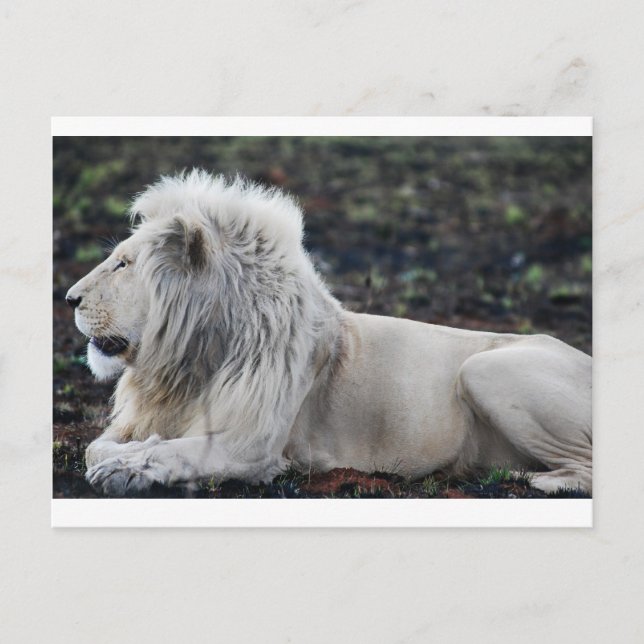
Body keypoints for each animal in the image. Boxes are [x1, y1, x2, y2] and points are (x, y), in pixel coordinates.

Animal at [65, 170, 592, 497]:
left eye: (123, 264)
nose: (69, 299)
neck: (190, 359)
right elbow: (99, 444)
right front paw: (120, 459)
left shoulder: (252, 446)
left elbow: (178, 451)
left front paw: (125, 470)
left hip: (483, 369)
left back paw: (528, 479)